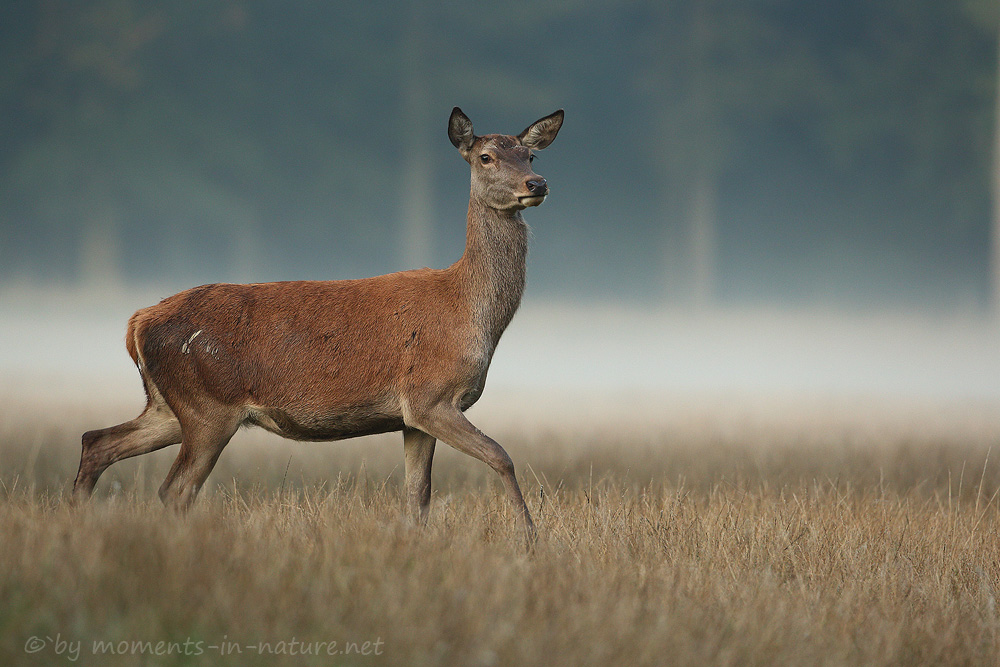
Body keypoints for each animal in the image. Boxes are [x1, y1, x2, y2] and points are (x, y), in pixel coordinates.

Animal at [72, 105, 564, 544]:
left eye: (531, 156)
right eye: (486, 157)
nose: (536, 184)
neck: (468, 312)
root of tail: (137, 324)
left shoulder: (413, 417)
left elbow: (418, 496)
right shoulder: (430, 396)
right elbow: (501, 456)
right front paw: (530, 538)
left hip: (168, 405)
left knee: (96, 441)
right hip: (207, 406)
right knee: (174, 489)